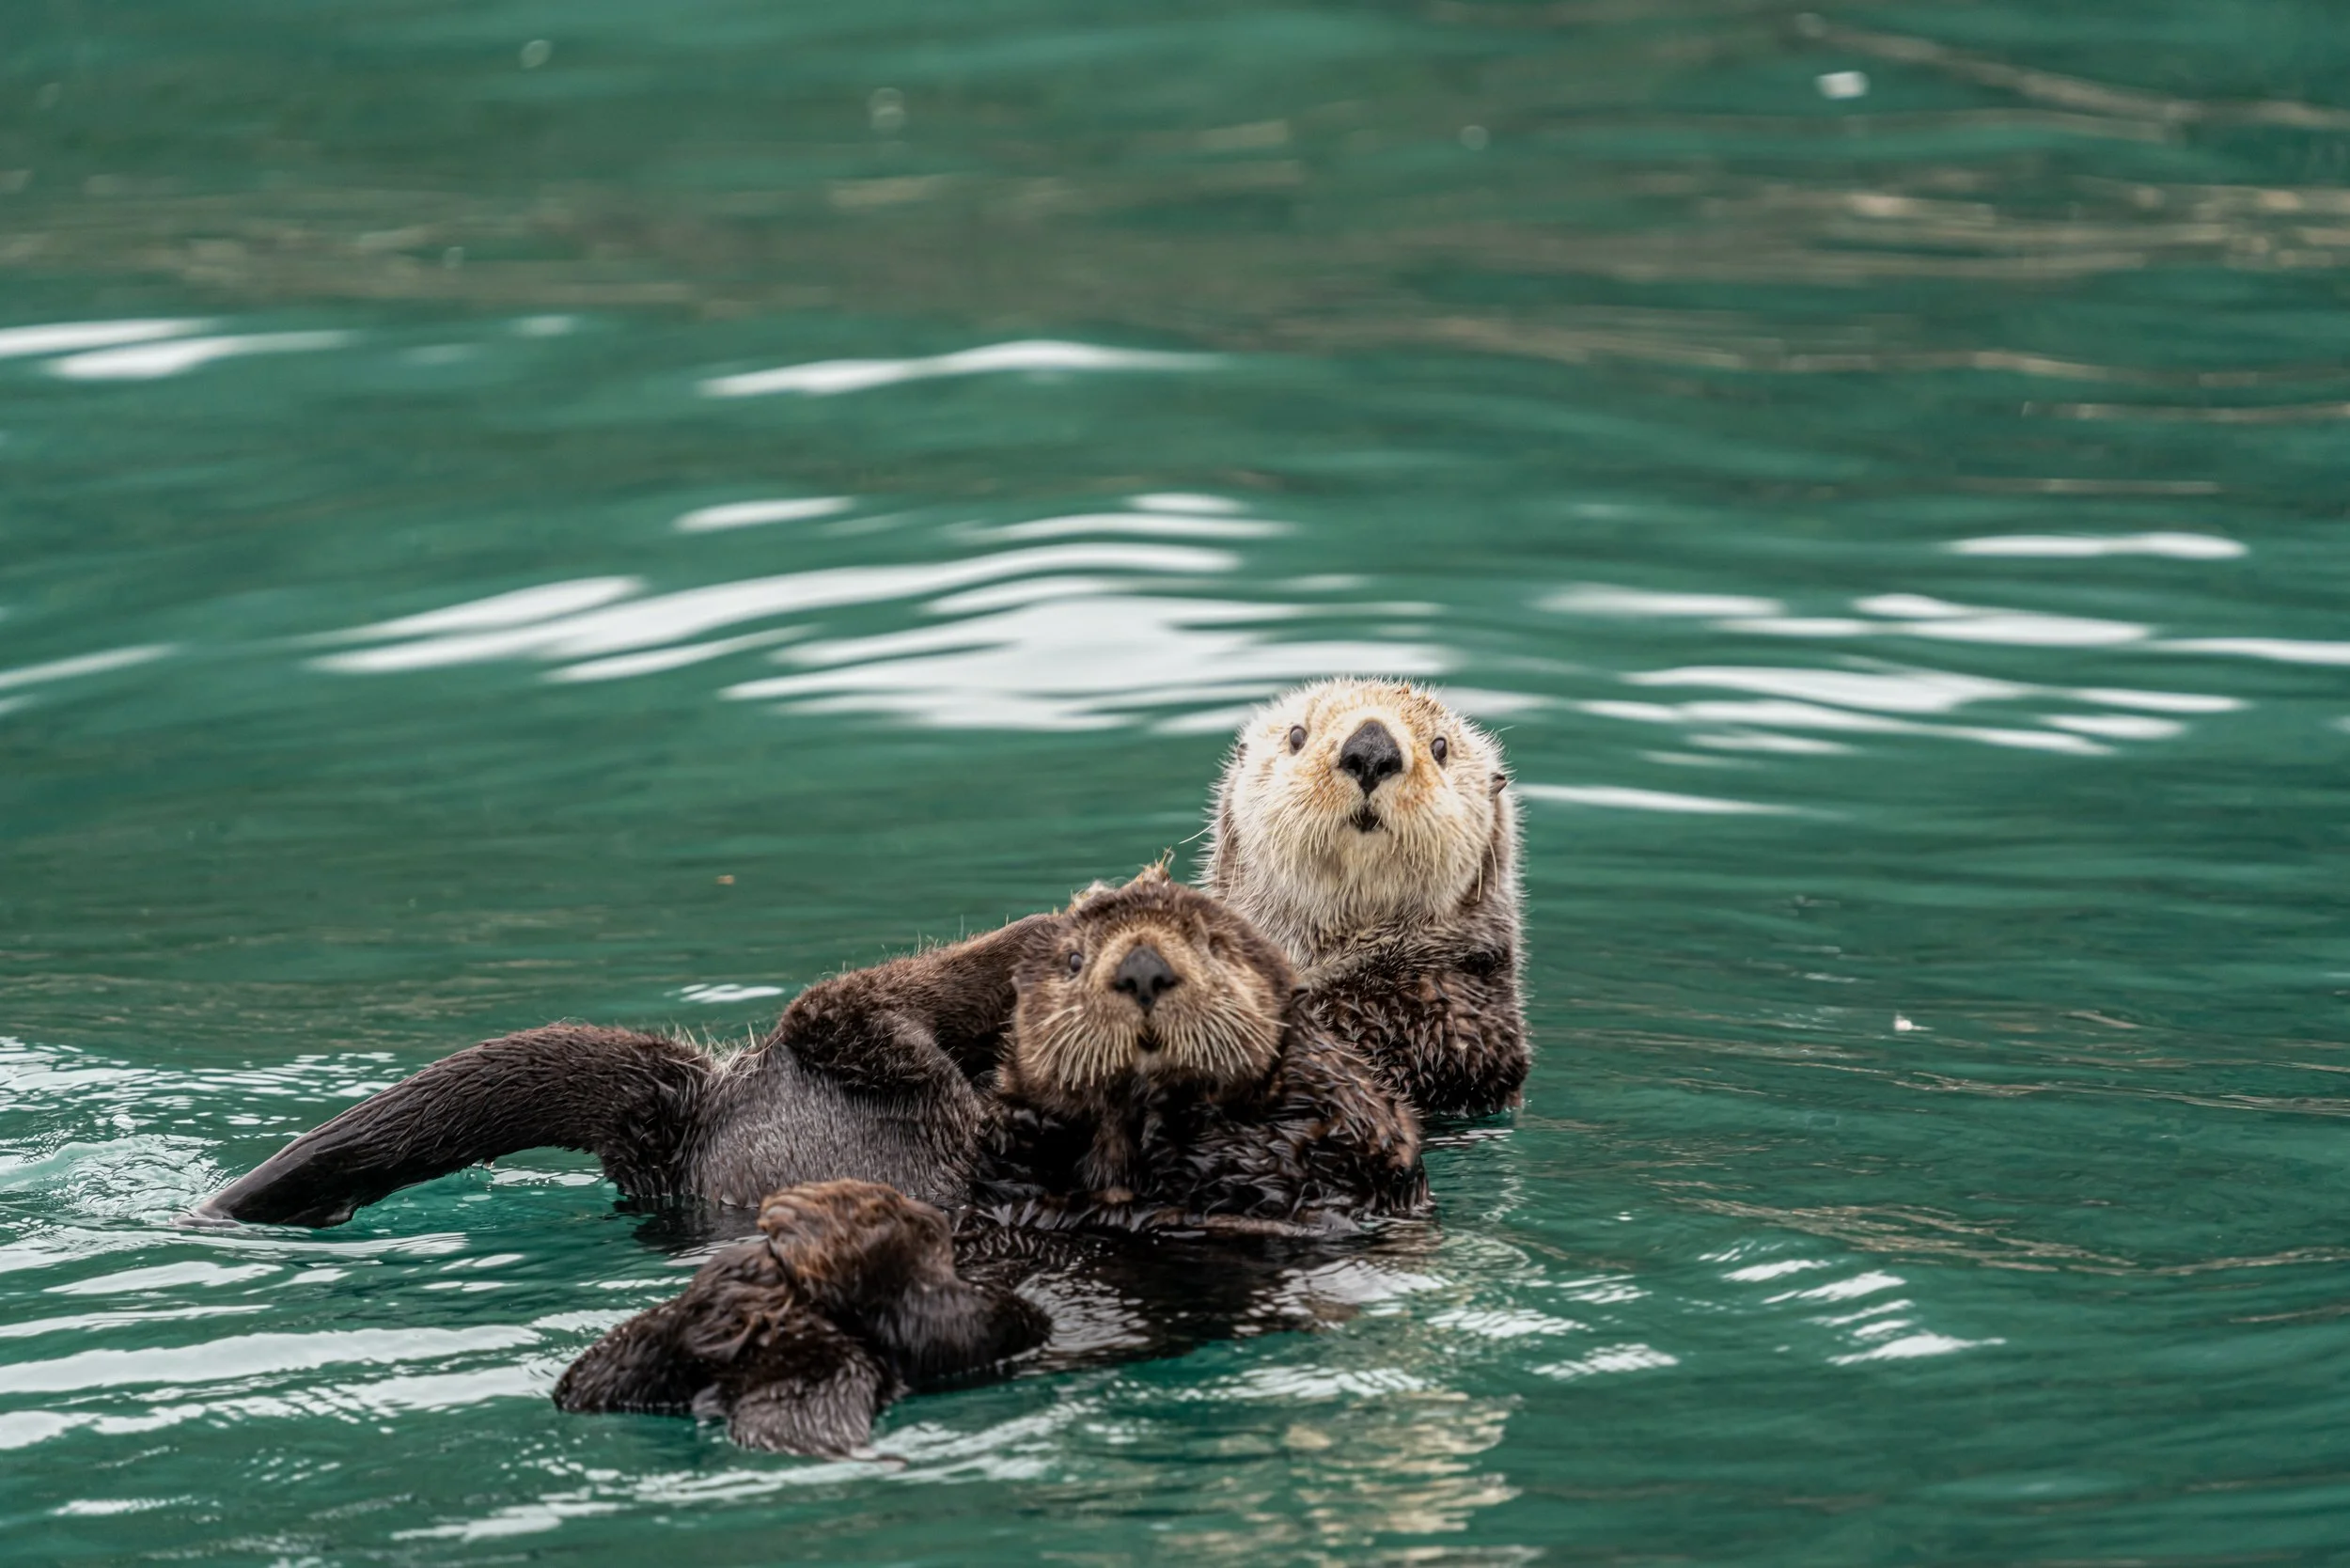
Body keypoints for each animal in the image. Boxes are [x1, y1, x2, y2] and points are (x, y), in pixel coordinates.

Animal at [194, 871, 1425, 1236]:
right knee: (857, 1006)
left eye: (1215, 946)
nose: (1140, 969)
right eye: (1085, 966)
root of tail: (697, 1108)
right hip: (849, 1059)